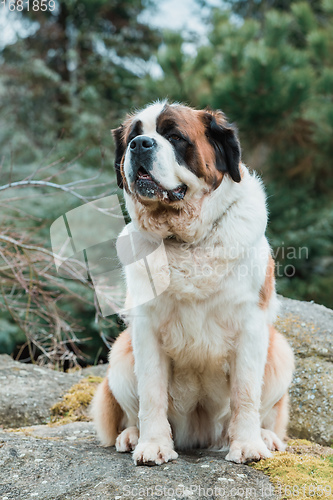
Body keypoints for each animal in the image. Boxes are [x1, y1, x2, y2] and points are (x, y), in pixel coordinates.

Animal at [90, 100, 294, 464]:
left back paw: (266, 437)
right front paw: (153, 445)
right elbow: (152, 393)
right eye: (132, 137)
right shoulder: (146, 330)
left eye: (174, 137)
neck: (186, 242)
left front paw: (248, 445)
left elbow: (245, 393)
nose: (140, 145)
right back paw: (132, 435)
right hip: (120, 357)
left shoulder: (251, 326)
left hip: (280, 351)